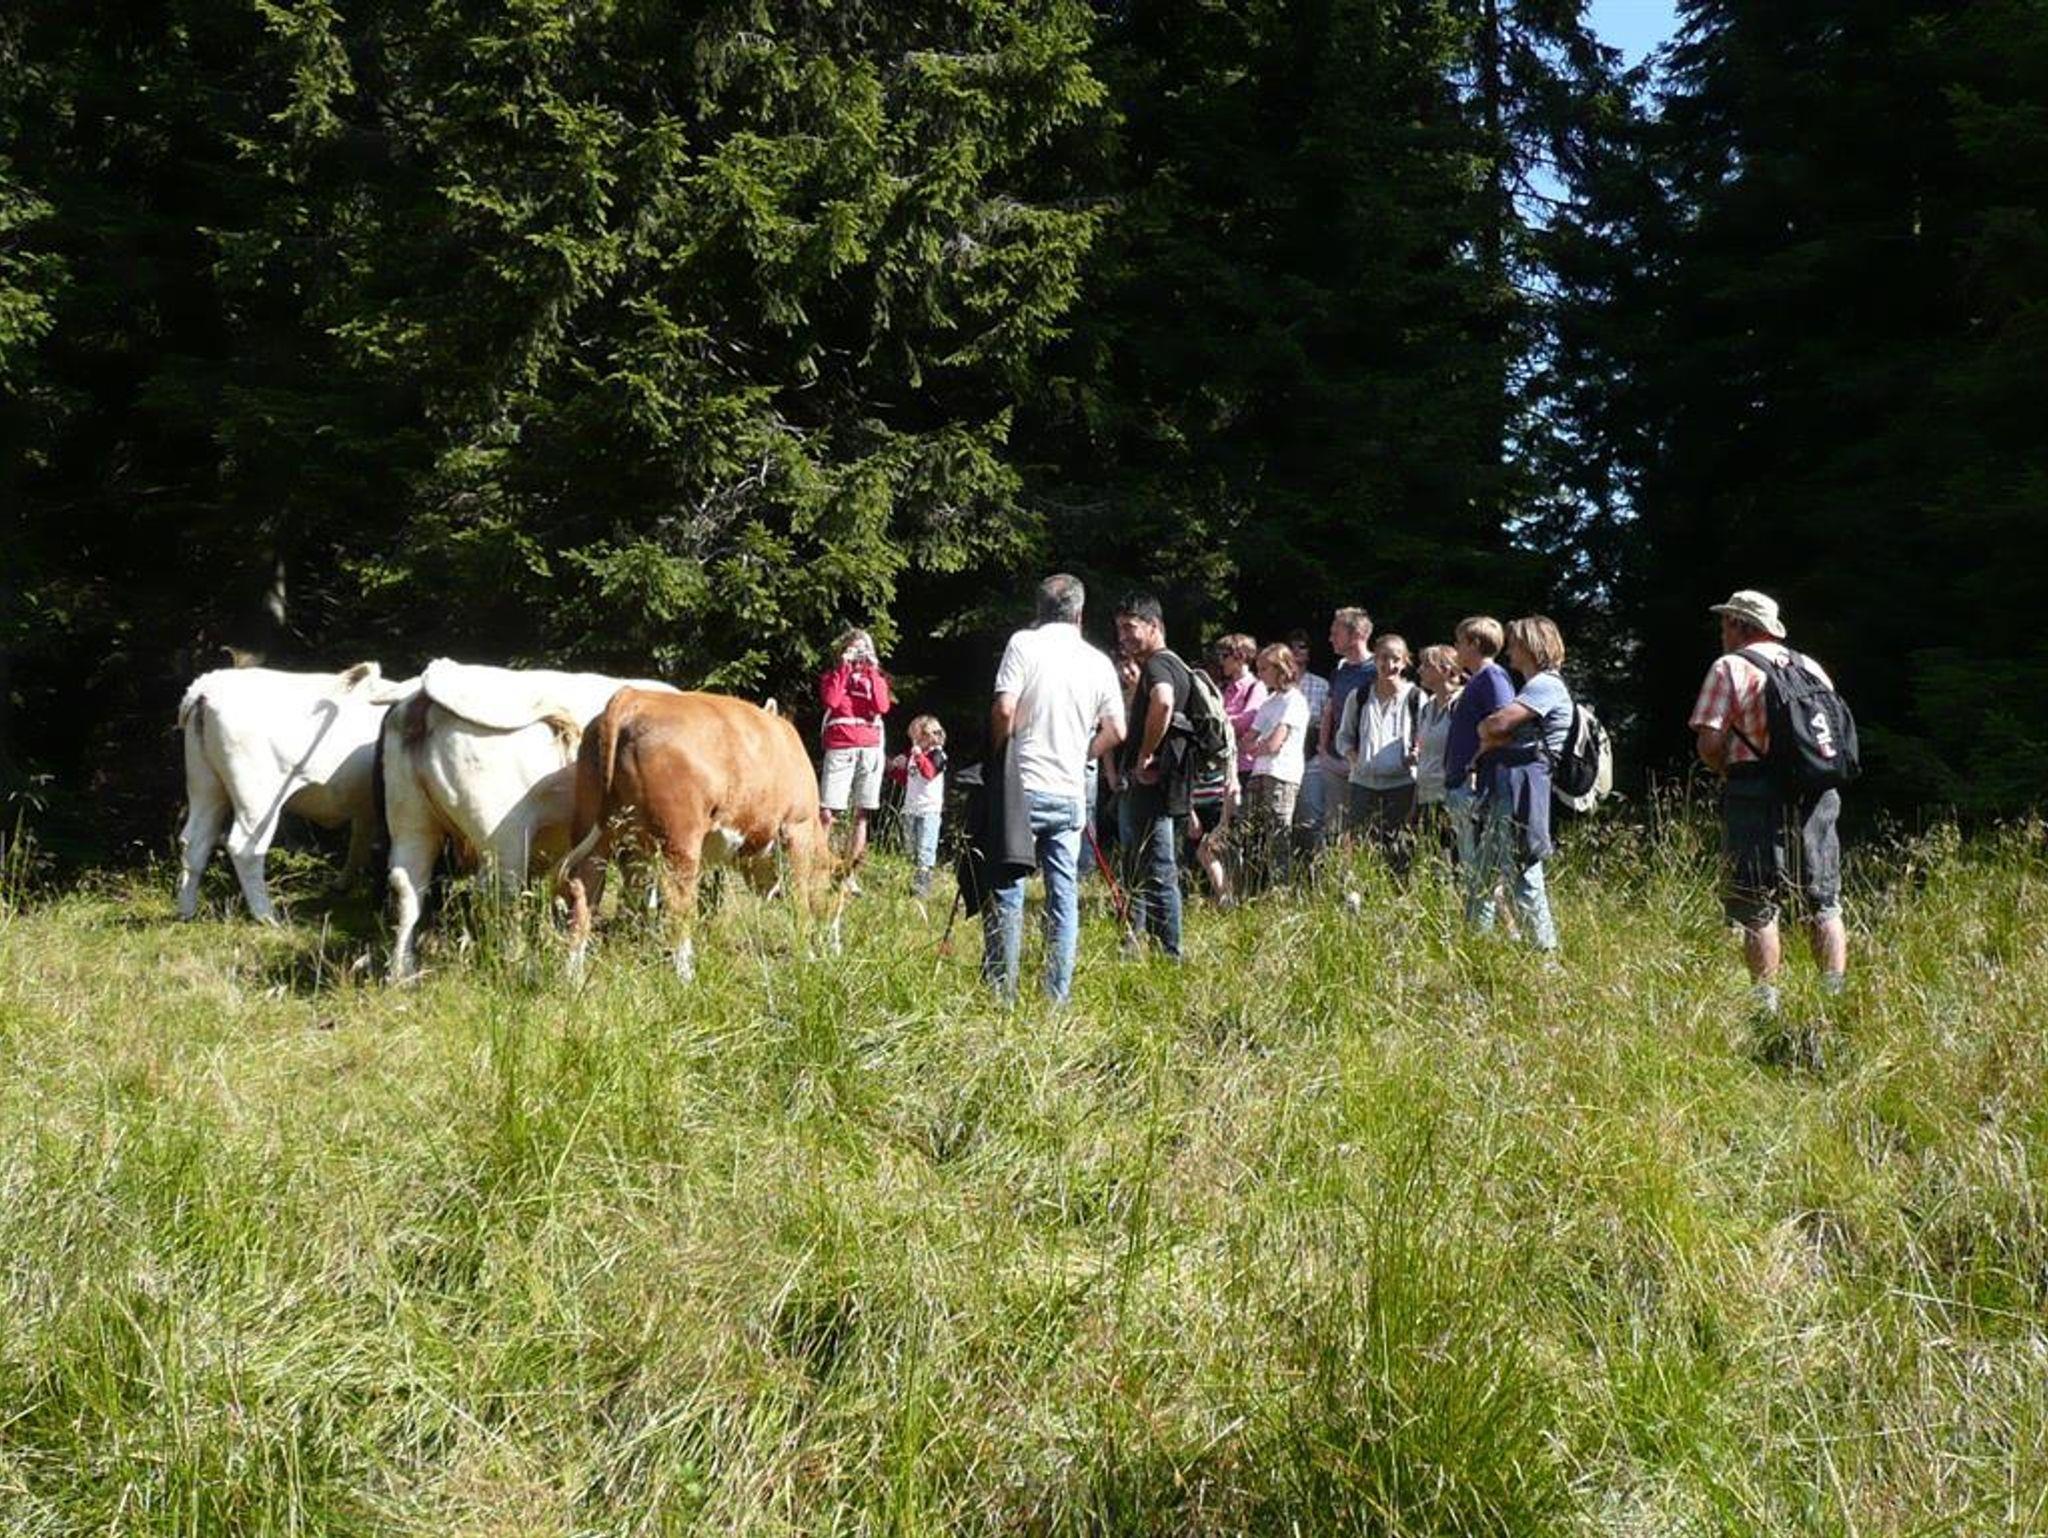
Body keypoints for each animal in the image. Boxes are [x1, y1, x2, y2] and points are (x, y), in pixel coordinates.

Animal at [177, 662, 419, 922]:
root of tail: (208, 686)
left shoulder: (366, 807)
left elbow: (359, 841)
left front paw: (342, 885)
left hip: (206, 786)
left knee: (195, 841)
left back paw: (186, 911)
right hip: (257, 799)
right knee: (244, 849)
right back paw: (267, 916)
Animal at [381, 659, 679, 979]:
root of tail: (425, 697)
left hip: (411, 823)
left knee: (409, 887)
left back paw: (402, 973)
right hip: (504, 836)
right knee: (500, 892)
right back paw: (518, 963)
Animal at [556, 688, 835, 982]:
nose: (835, 945)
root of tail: (633, 697)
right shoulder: (797, 827)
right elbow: (799, 897)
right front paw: (807, 956)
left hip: (597, 831)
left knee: (584, 893)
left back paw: (573, 974)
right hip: (680, 839)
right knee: (678, 902)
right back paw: (686, 974)